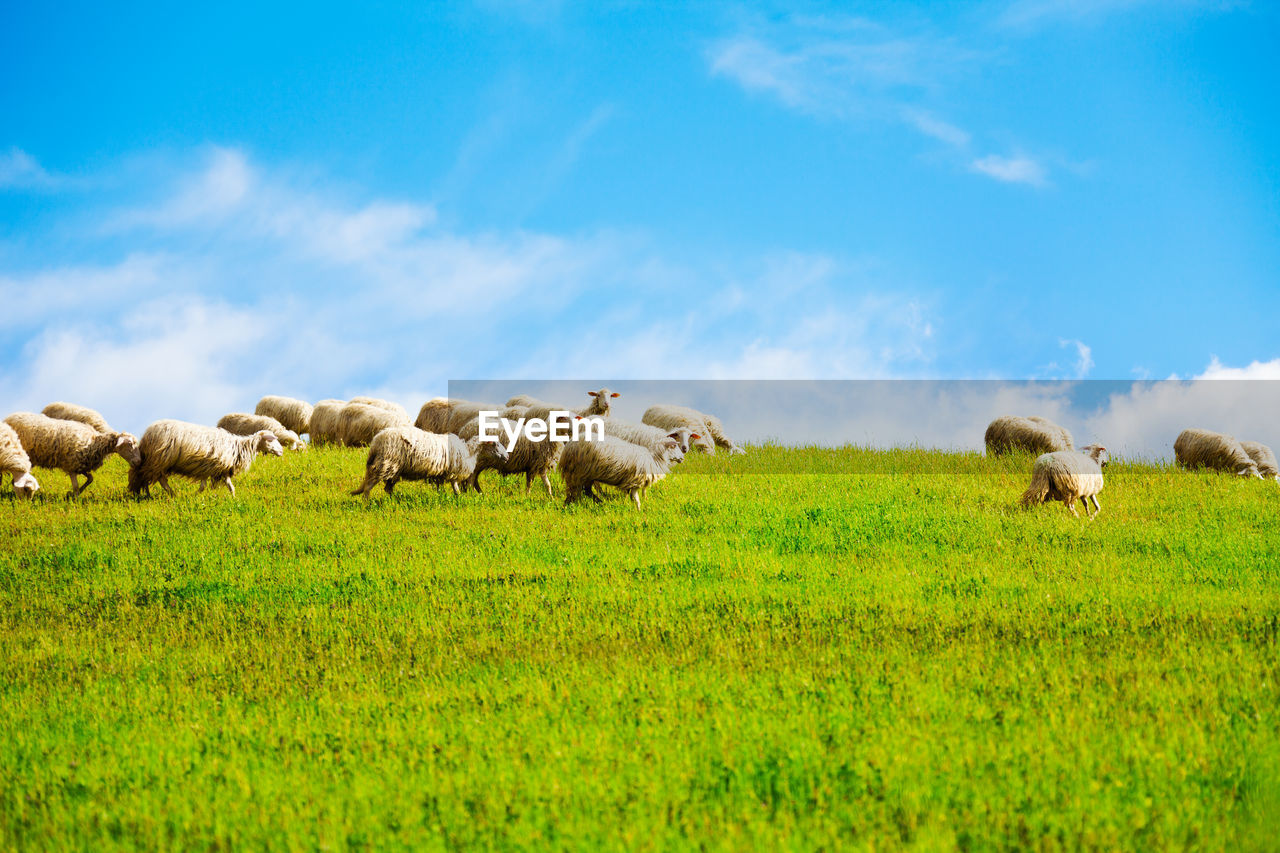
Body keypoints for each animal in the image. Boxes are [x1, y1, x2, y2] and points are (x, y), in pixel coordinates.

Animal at [4, 409, 141, 494]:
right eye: (130, 444)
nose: (139, 462)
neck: (94, 442)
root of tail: (9, 417)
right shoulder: (71, 466)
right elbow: (75, 487)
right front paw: (74, 499)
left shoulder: (80, 465)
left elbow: (90, 478)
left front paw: (75, 493)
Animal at [127, 417, 282, 494]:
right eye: (271, 440)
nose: (281, 451)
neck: (239, 447)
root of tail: (148, 433)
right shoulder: (207, 467)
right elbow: (203, 487)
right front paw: (195, 496)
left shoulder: (220, 470)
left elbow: (230, 487)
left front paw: (233, 499)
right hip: (158, 459)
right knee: (149, 476)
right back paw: (160, 494)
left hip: (159, 461)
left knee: (154, 477)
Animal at [353, 425, 512, 499]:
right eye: (495, 444)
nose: (507, 457)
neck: (469, 452)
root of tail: (376, 441)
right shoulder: (452, 472)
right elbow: (454, 486)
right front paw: (458, 497)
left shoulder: (440, 474)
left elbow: (440, 487)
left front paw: (445, 496)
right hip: (386, 464)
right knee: (369, 485)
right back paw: (367, 502)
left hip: (394, 468)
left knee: (387, 488)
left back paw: (395, 500)